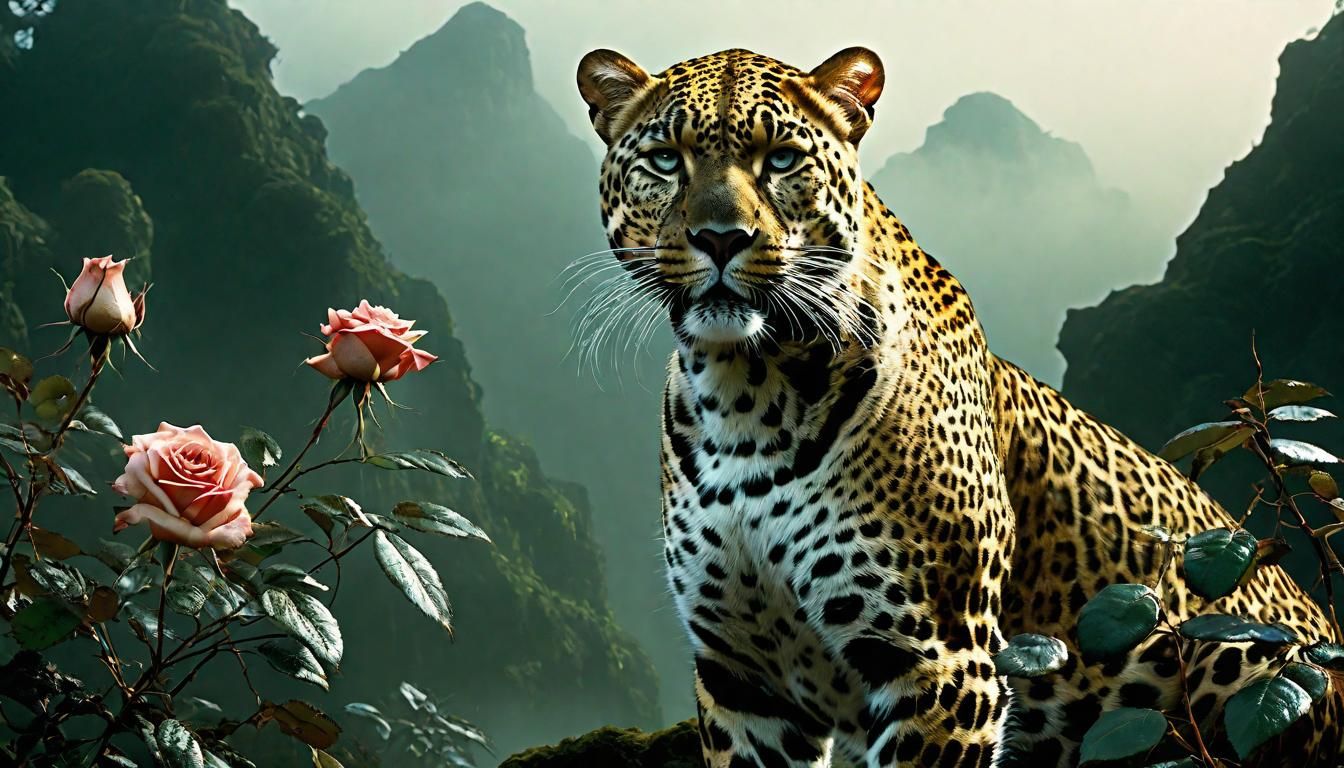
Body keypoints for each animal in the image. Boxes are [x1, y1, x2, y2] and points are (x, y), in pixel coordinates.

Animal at [574, 45, 1342, 767]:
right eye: (666, 160)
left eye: (783, 158)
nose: (720, 238)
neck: (746, 392)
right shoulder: (743, 679)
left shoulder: (938, 660)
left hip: (1262, 667)